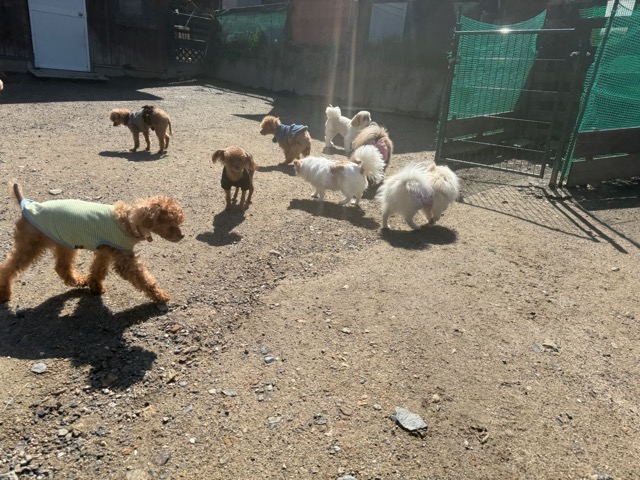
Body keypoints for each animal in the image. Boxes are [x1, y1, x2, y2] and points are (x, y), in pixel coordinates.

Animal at [0, 183, 185, 305]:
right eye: (171, 225)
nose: (182, 236)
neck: (128, 222)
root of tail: (27, 204)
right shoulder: (124, 258)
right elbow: (143, 279)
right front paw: (160, 296)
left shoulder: (104, 251)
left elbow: (98, 270)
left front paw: (94, 286)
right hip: (31, 243)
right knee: (8, 268)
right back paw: (4, 293)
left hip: (65, 241)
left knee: (62, 267)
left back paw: (79, 281)